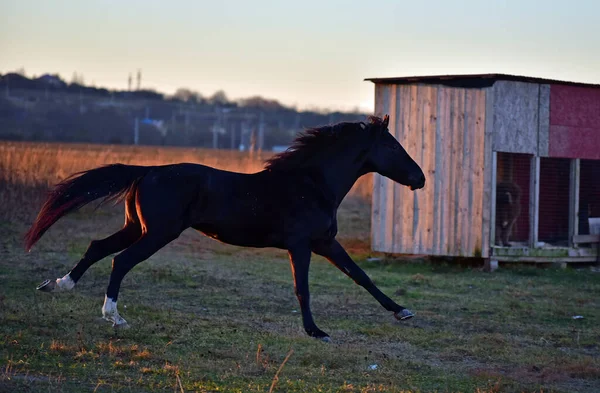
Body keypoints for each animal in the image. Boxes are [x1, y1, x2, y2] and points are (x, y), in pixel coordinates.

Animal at [25, 114, 424, 340]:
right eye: (392, 145)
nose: (419, 179)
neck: (312, 184)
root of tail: (146, 172)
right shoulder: (301, 245)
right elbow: (303, 289)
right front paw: (316, 332)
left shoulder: (324, 242)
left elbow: (361, 276)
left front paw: (402, 311)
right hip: (157, 234)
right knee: (119, 261)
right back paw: (115, 318)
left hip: (137, 228)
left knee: (98, 247)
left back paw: (58, 285)